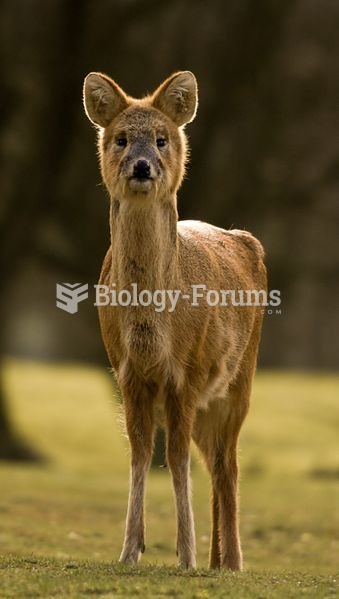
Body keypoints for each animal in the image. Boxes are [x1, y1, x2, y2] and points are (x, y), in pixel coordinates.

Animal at [83, 70, 266, 572]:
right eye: (122, 139)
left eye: (162, 138)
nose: (142, 166)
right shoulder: (126, 370)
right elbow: (141, 453)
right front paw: (130, 550)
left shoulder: (186, 370)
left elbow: (177, 458)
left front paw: (184, 555)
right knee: (215, 461)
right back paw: (218, 560)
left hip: (239, 379)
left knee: (228, 464)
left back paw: (232, 562)